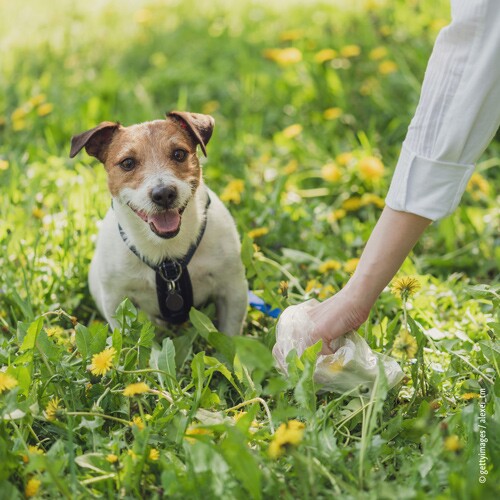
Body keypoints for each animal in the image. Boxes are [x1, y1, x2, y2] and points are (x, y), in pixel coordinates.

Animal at [69, 110, 249, 336]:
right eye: (127, 163)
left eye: (179, 154)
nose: (163, 194)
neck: (167, 254)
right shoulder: (116, 300)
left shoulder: (232, 289)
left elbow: (230, 335)